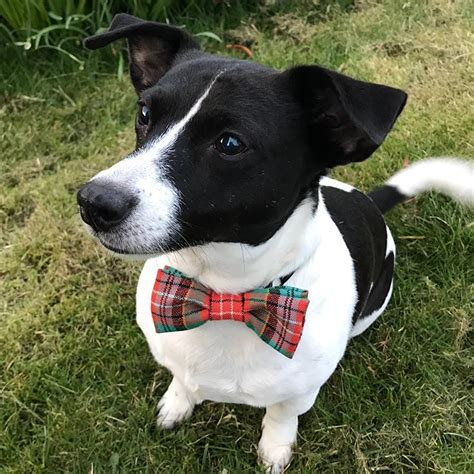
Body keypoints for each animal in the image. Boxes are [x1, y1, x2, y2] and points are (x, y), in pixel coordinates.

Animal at [78, 12, 474, 472]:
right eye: (144, 113)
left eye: (230, 143)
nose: (94, 202)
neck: (220, 294)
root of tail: (369, 200)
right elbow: (181, 379)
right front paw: (177, 402)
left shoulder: (299, 390)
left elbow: (281, 414)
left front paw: (275, 448)